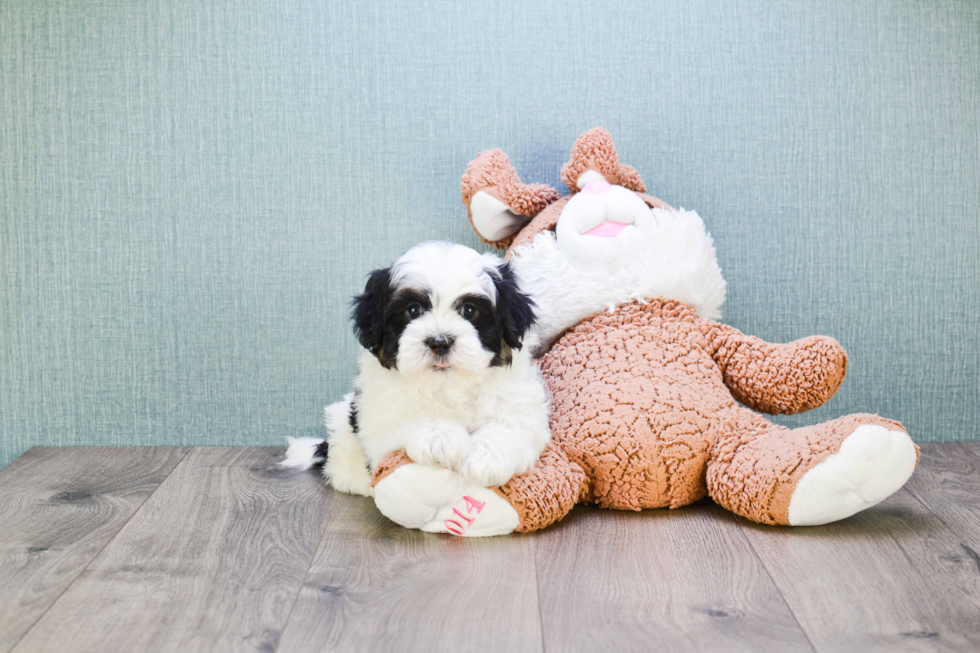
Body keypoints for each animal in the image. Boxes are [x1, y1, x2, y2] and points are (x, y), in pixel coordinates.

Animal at [284, 241, 552, 494]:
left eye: (469, 310)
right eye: (413, 310)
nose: (439, 342)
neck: (448, 385)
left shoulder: (518, 399)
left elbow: (511, 424)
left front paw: (486, 458)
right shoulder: (380, 405)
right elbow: (407, 413)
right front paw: (440, 438)